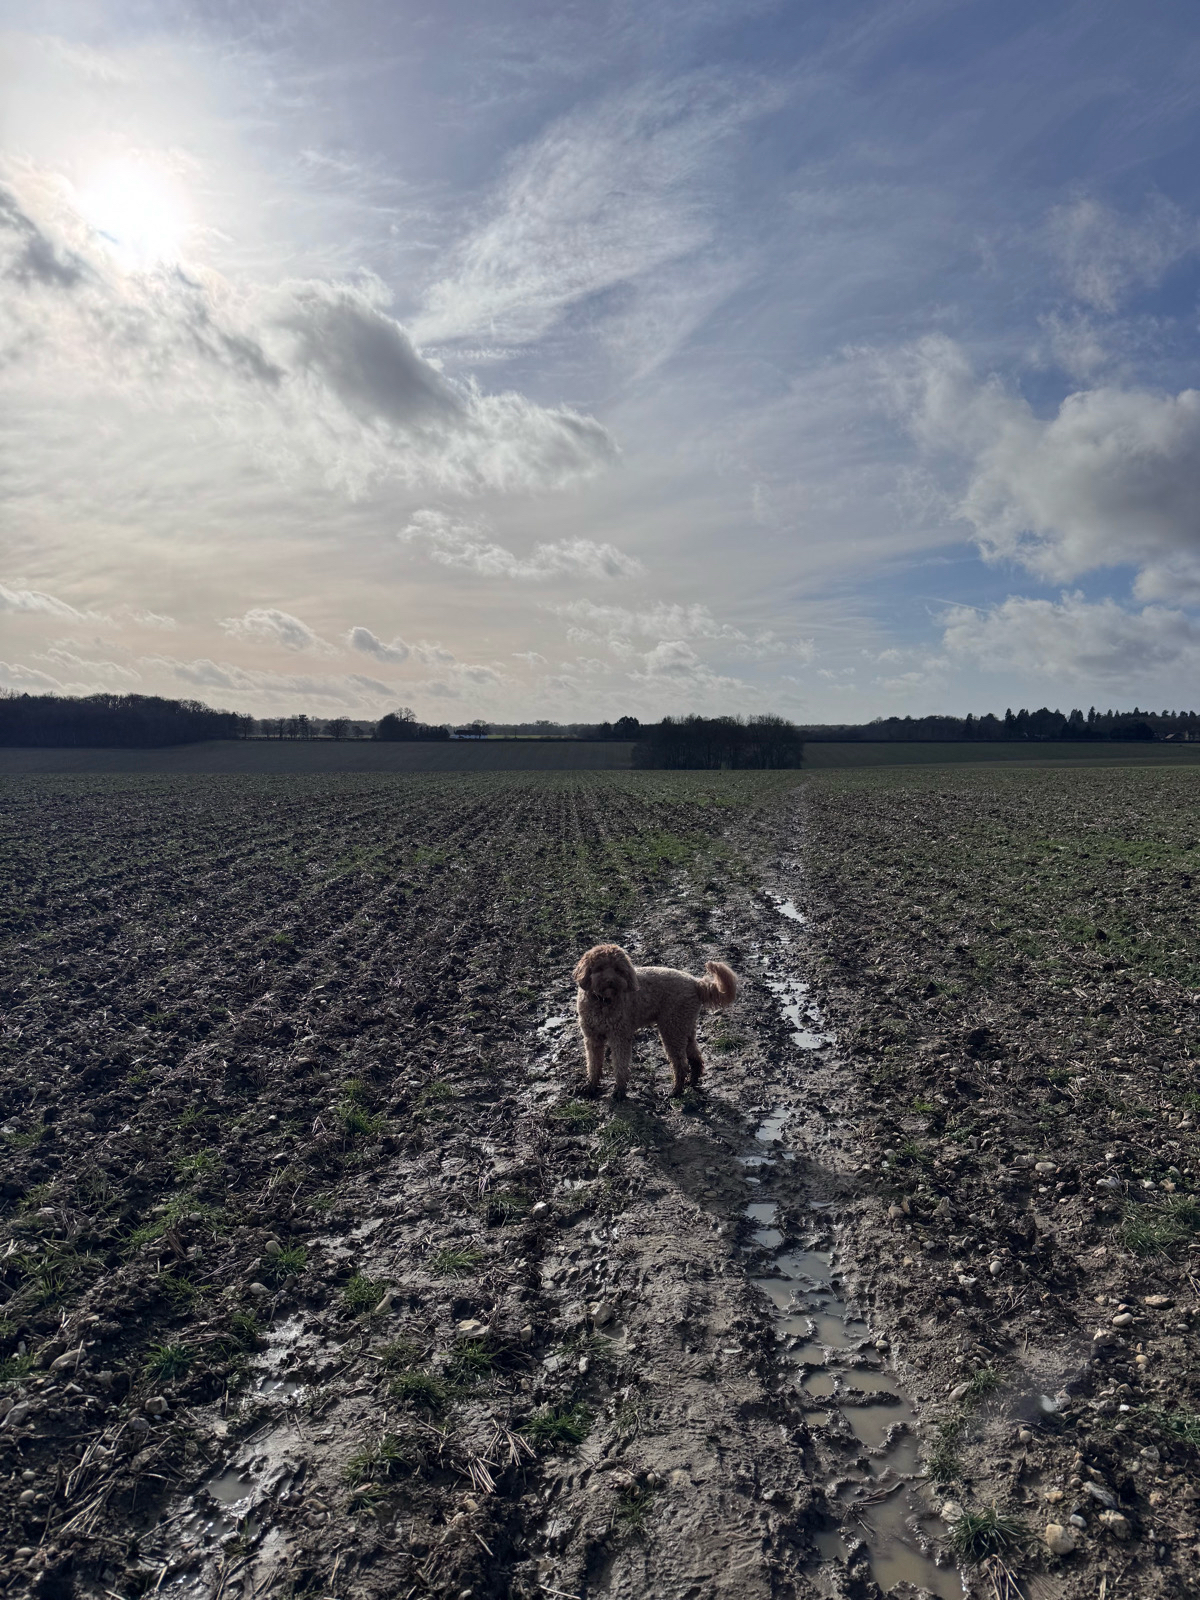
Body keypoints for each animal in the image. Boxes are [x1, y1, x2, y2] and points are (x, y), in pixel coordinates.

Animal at [573, 943, 738, 1098]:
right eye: (599, 968)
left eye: (618, 969)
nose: (610, 981)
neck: (602, 1001)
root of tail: (695, 982)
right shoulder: (592, 1038)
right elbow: (593, 1064)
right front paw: (591, 1086)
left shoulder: (619, 1037)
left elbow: (620, 1064)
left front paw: (619, 1091)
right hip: (684, 1026)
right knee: (695, 1057)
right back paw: (692, 1082)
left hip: (672, 1029)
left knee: (681, 1064)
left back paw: (676, 1091)